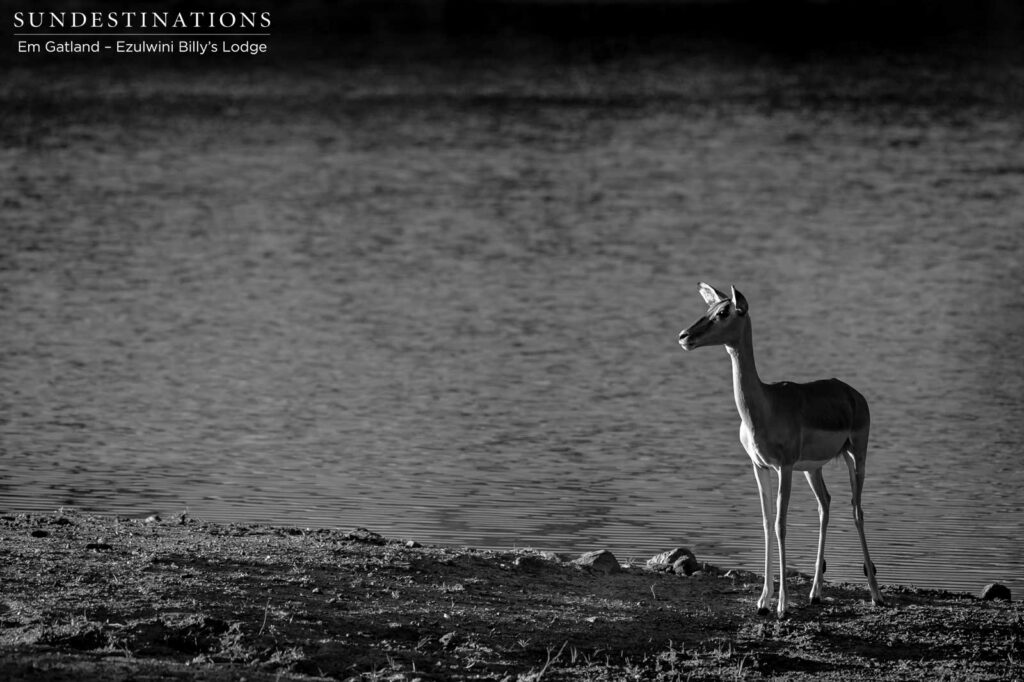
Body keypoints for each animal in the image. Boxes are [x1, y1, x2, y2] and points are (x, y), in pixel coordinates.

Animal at [678, 282, 885, 618]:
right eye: (709, 308)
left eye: (724, 311)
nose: (684, 336)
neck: (765, 406)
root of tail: (853, 394)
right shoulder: (759, 466)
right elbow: (765, 523)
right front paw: (763, 601)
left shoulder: (784, 467)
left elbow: (780, 524)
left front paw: (782, 605)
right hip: (813, 468)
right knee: (825, 505)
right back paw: (815, 593)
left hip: (857, 455)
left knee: (857, 510)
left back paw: (876, 595)